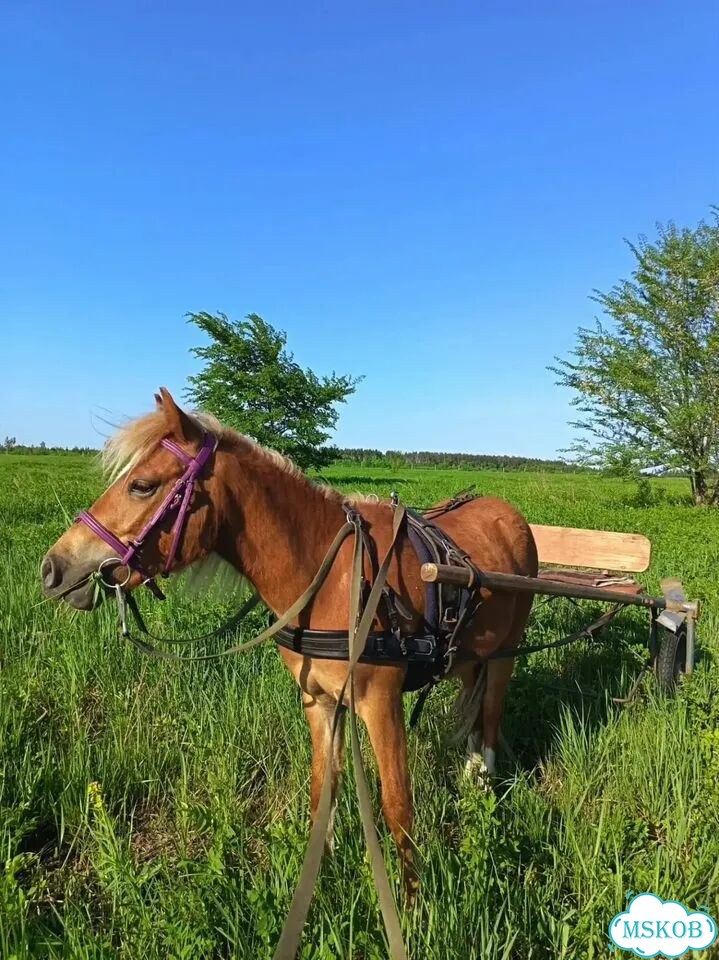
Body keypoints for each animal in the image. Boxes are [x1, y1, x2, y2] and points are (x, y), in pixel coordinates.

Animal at [41, 388, 537, 898]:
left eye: (141, 485)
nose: (53, 568)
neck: (334, 576)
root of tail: (508, 513)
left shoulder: (381, 704)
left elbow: (398, 807)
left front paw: (412, 901)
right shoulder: (319, 700)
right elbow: (324, 790)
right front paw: (324, 874)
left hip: (505, 655)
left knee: (490, 715)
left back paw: (483, 785)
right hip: (471, 655)